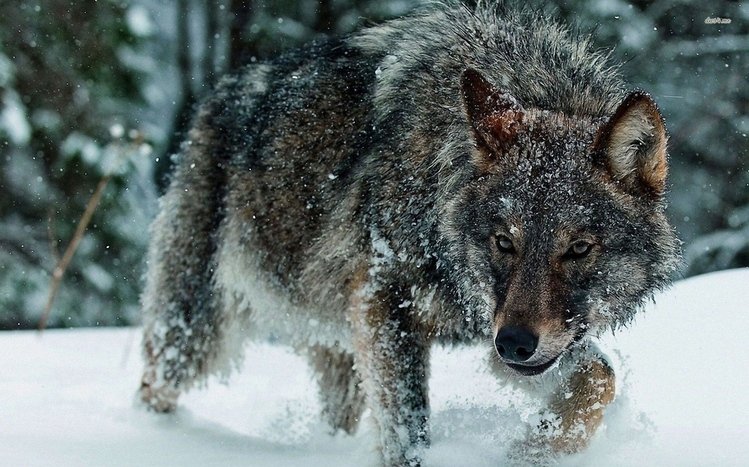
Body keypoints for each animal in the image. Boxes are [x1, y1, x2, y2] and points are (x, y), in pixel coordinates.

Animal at [138, 2, 680, 465]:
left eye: (579, 249)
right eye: (504, 242)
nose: (514, 346)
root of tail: (218, 92)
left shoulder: (503, 329)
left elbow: (599, 377)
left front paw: (537, 449)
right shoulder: (387, 302)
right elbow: (407, 431)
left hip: (341, 355)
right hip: (195, 330)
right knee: (153, 384)